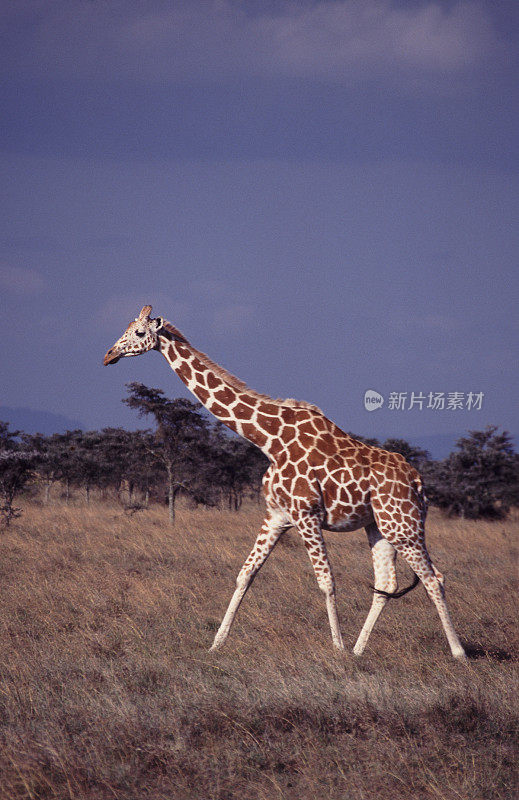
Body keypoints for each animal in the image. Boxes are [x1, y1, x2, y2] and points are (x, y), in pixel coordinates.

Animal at [103, 304, 470, 660]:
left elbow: (326, 581)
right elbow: (245, 574)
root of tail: (418, 482)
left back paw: (457, 652)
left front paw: (336, 649)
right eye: (125, 329)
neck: (269, 440)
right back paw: (359, 650)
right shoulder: (276, 516)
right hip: (379, 526)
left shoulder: (306, 515)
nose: (108, 355)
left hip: (404, 525)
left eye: (138, 332)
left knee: (434, 578)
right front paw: (215, 645)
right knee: (388, 583)